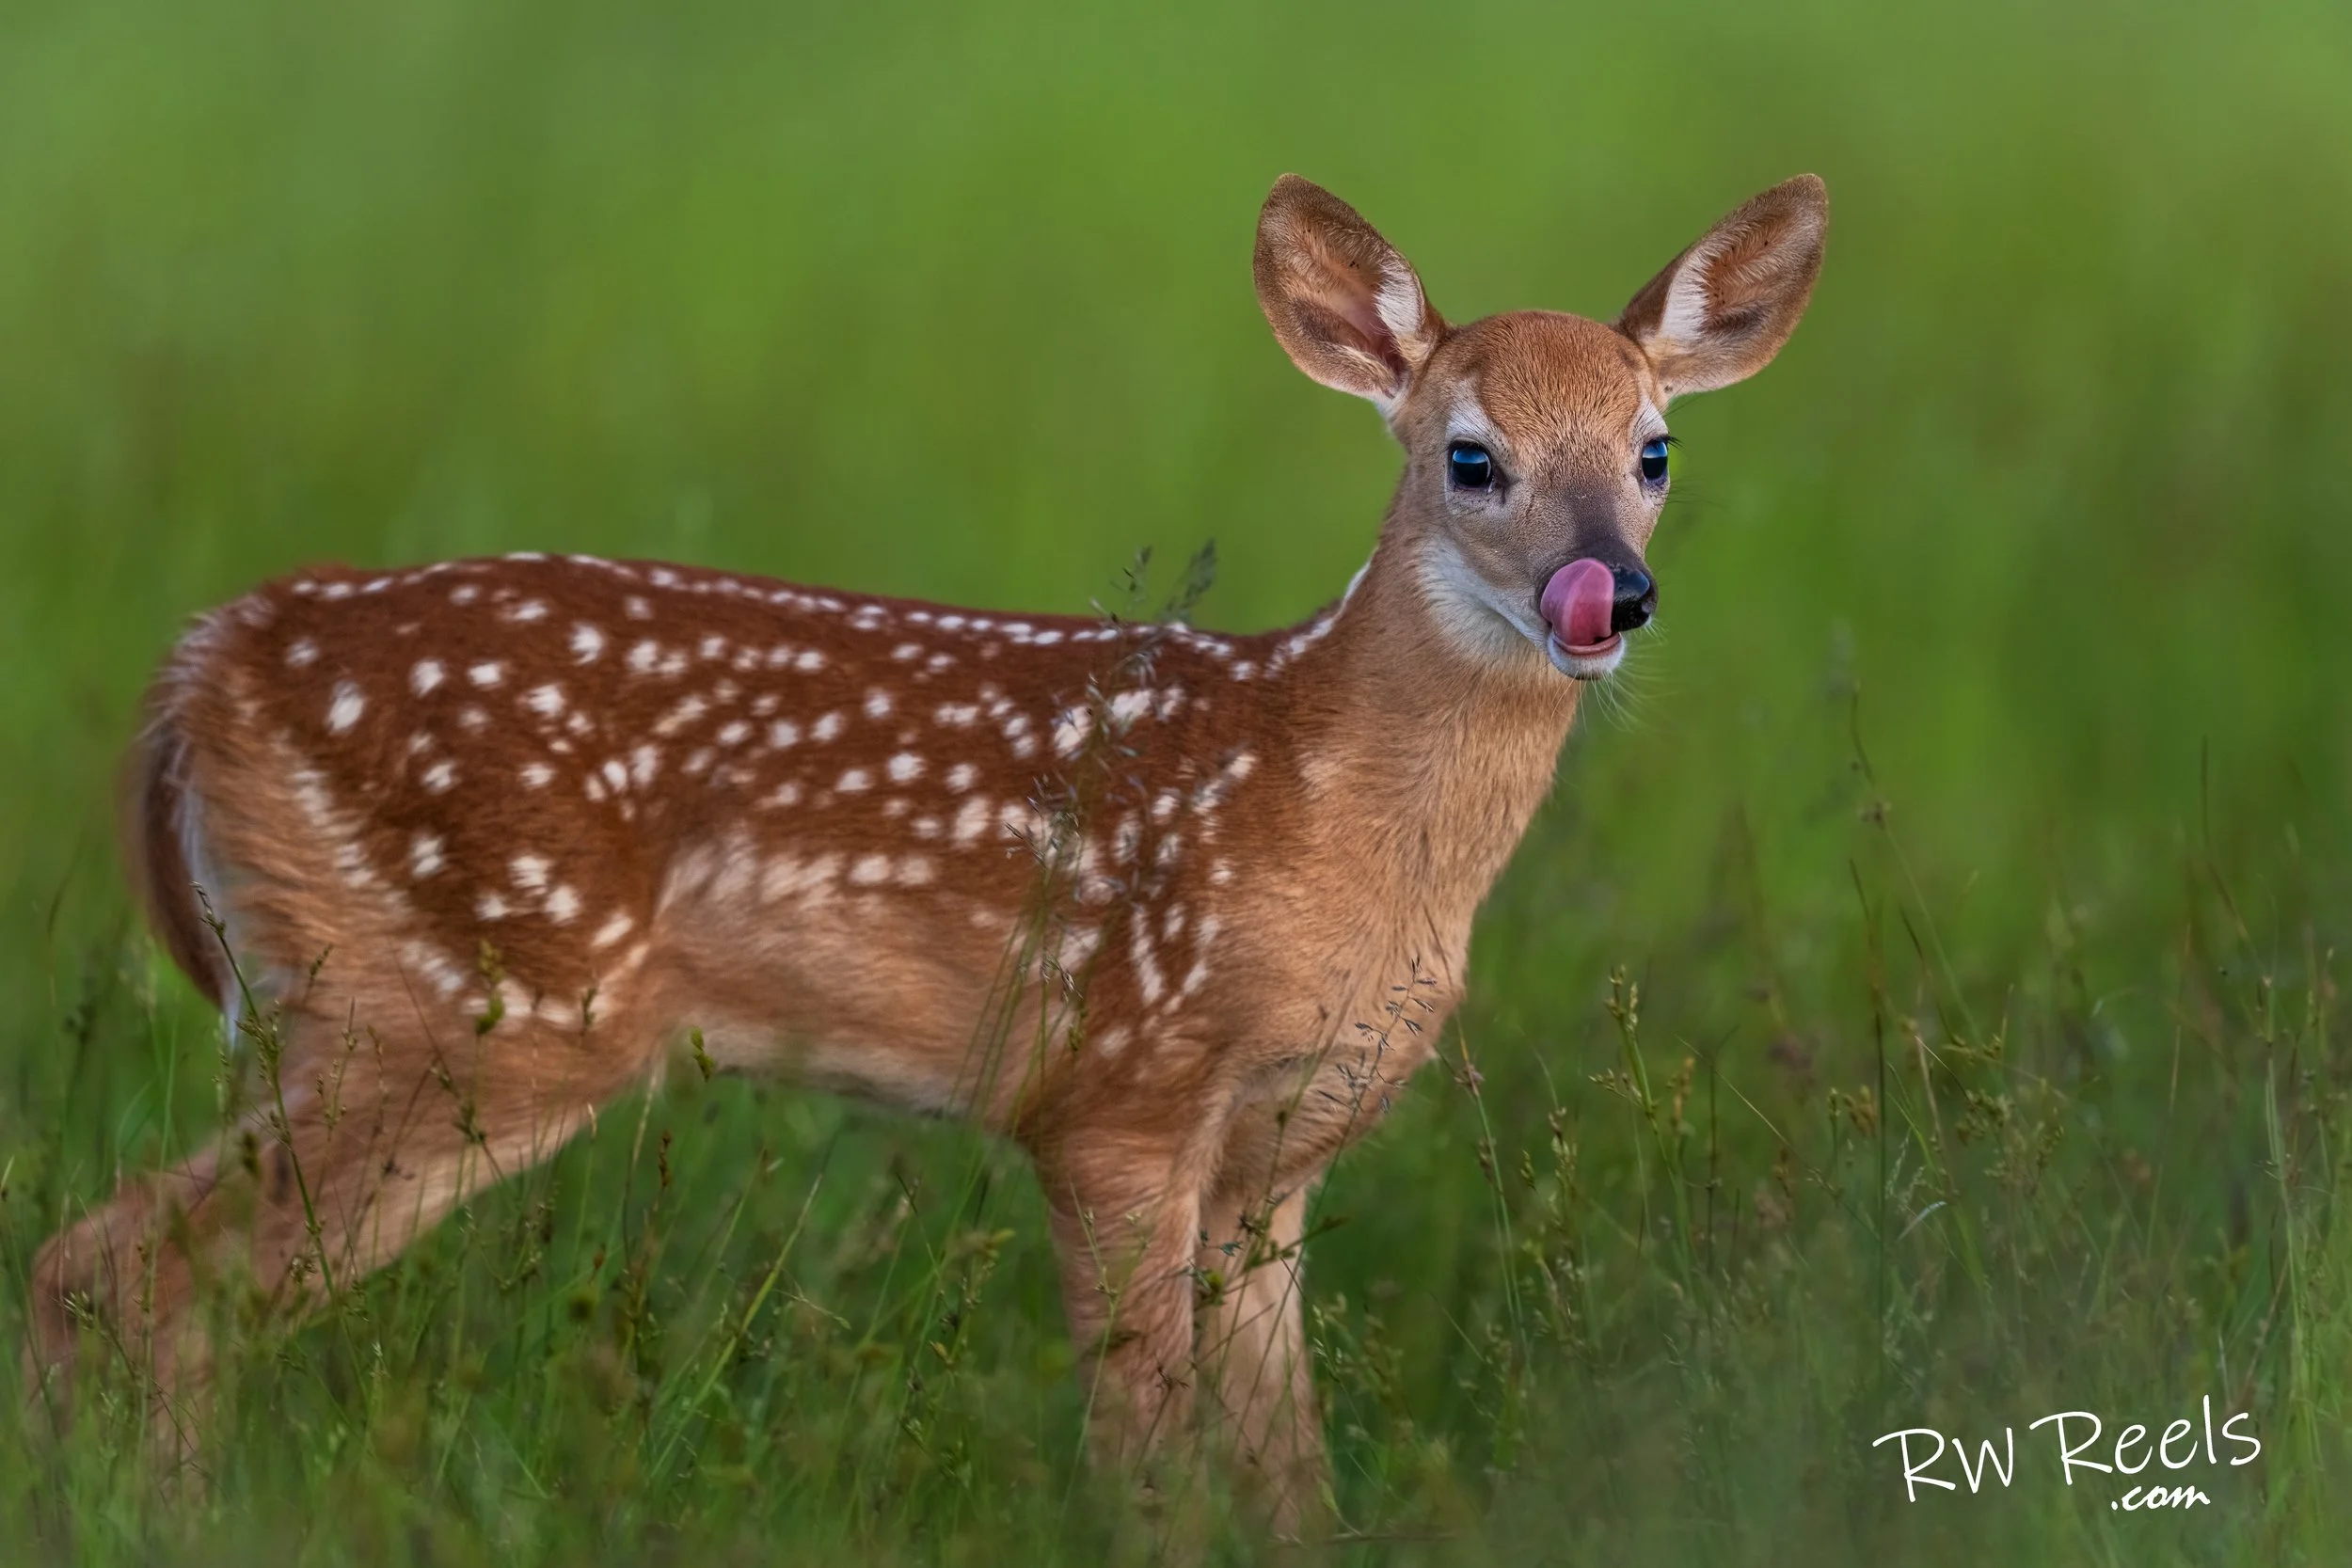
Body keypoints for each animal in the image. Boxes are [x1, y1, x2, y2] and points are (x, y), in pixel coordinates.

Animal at [27, 171, 1825, 1533]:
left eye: (1655, 452)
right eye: (1470, 457)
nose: (1608, 593)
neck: (1331, 816)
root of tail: (202, 664)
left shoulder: (1278, 1152)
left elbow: (1290, 1481)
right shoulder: (1114, 1091)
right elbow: (1149, 1463)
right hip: (458, 1002)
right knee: (118, 1271)